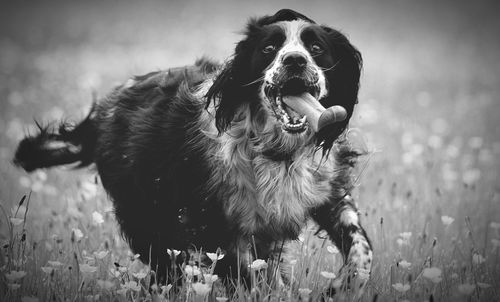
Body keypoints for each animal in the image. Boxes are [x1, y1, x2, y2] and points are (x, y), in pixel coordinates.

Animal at [13, 8, 372, 292]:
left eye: (316, 48)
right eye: (269, 48)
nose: (295, 60)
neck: (278, 153)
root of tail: (105, 107)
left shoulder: (329, 191)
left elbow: (361, 248)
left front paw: (343, 285)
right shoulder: (208, 222)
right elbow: (234, 269)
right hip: (147, 216)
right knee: (166, 267)